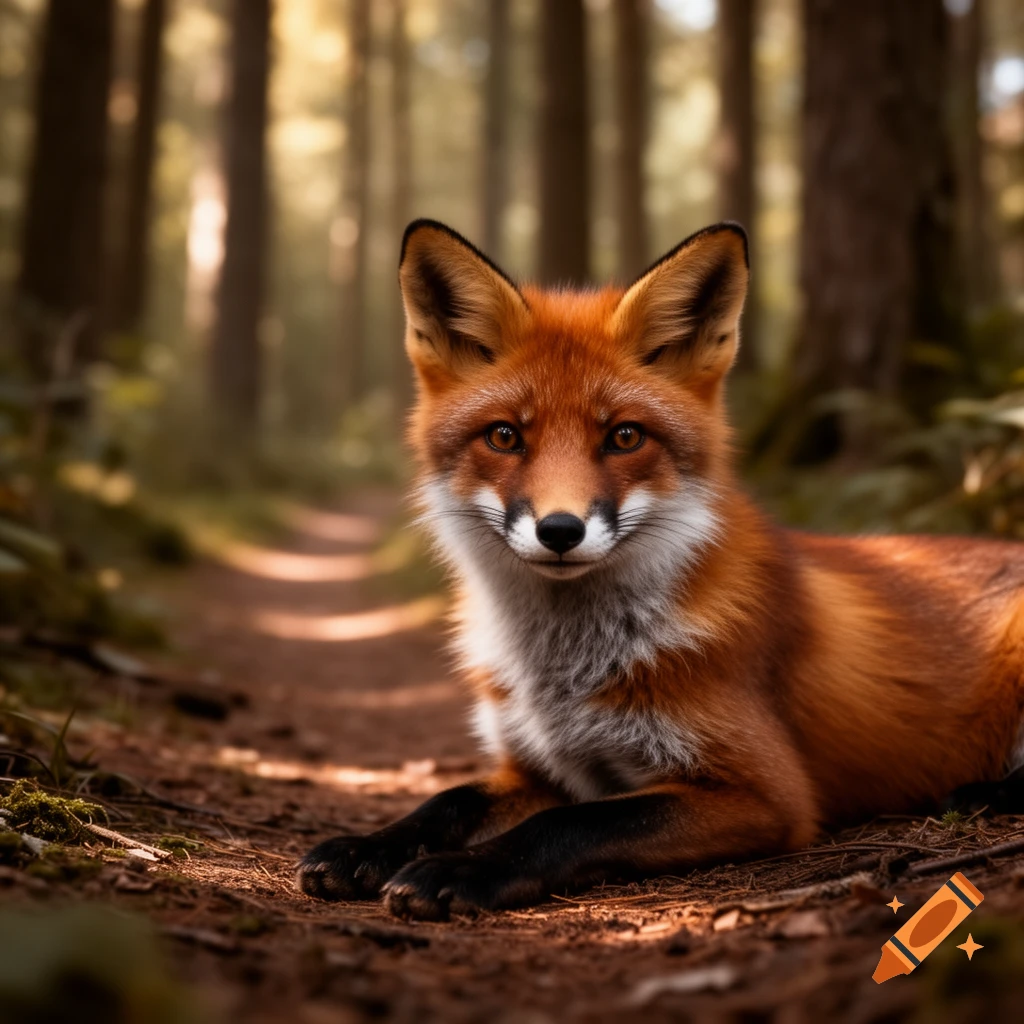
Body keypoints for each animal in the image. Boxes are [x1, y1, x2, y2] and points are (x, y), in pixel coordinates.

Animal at [296, 219, 1024, 921]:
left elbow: (572, 824)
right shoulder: (537, 767)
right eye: (505, 436)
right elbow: (447, 800)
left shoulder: (766, 794)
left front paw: (463, 870)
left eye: (624, 436)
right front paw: (366, 846)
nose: (560, 531)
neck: (564, 672)